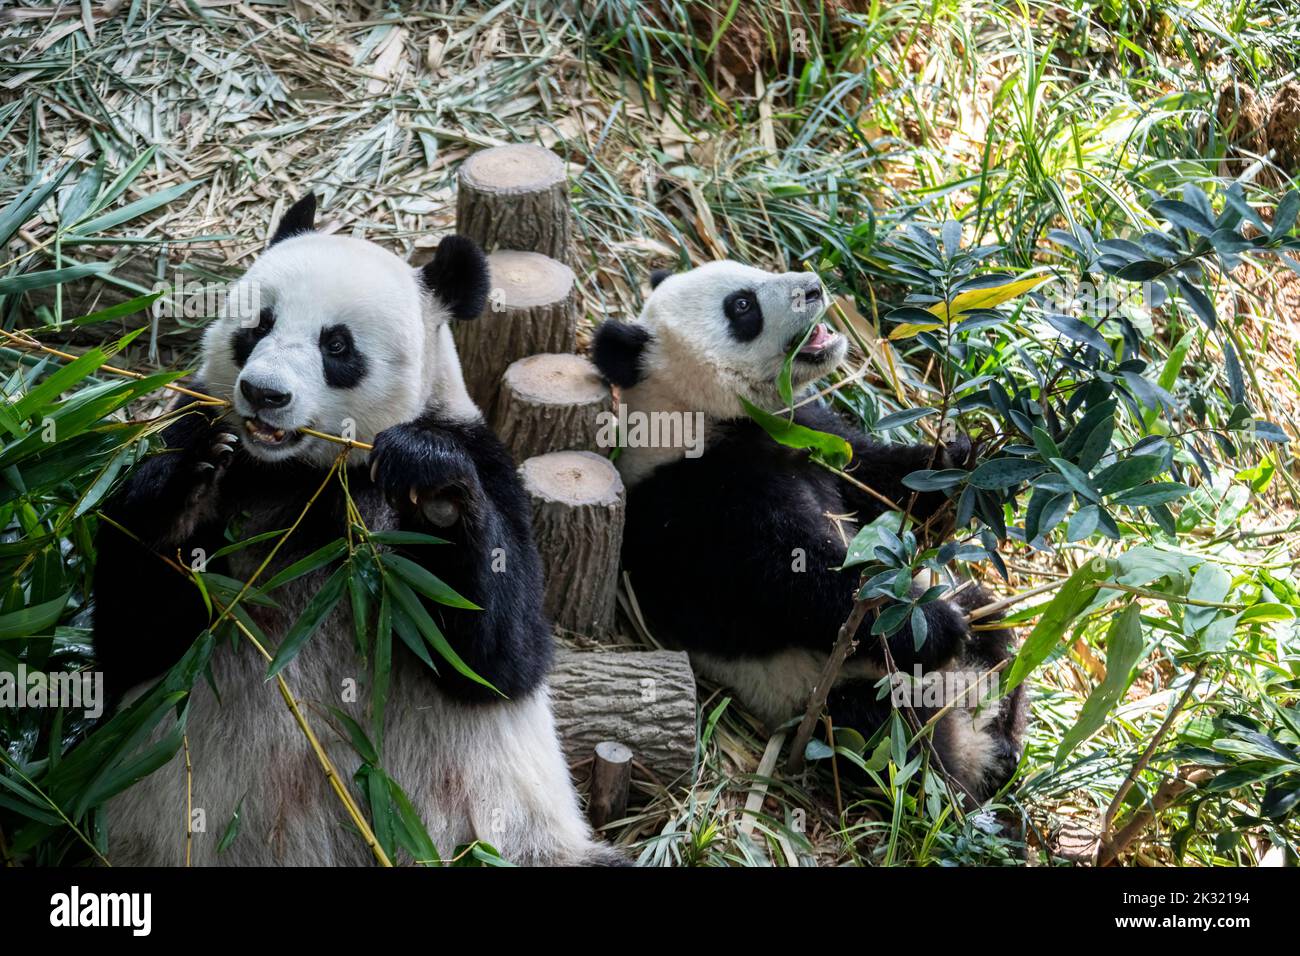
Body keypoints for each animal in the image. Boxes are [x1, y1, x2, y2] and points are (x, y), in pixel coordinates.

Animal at [96, 196, 624, 868]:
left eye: (338, 345)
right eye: (259, 325)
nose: (264, 394)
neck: (302, 473)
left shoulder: (484, 458)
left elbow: (504, 659)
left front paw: (433, 487)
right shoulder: (195, 427)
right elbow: (132, 641)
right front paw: (189, 492)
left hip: (515, 843)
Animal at [595, 261, 1029, 806]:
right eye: (742, 306)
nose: (813, 286)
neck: (693, 415)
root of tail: (969, 706)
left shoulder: (812, 433)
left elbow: (885, 479)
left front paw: (975, 462)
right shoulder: (701, 507)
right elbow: (802, 588)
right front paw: (932, 625)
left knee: (996, 626)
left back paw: (1005, 739)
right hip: (836, 695)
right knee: (886, 736)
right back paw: (953, 789)